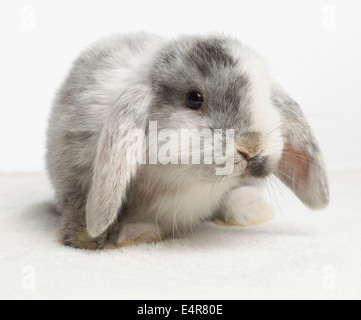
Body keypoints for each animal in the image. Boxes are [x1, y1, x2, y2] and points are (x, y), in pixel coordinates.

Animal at [45, 33, 330, 250]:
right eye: (194, 98)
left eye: (267, 99)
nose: (251, 147)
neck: (183, 185)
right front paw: (106, 236)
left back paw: (251, 209)